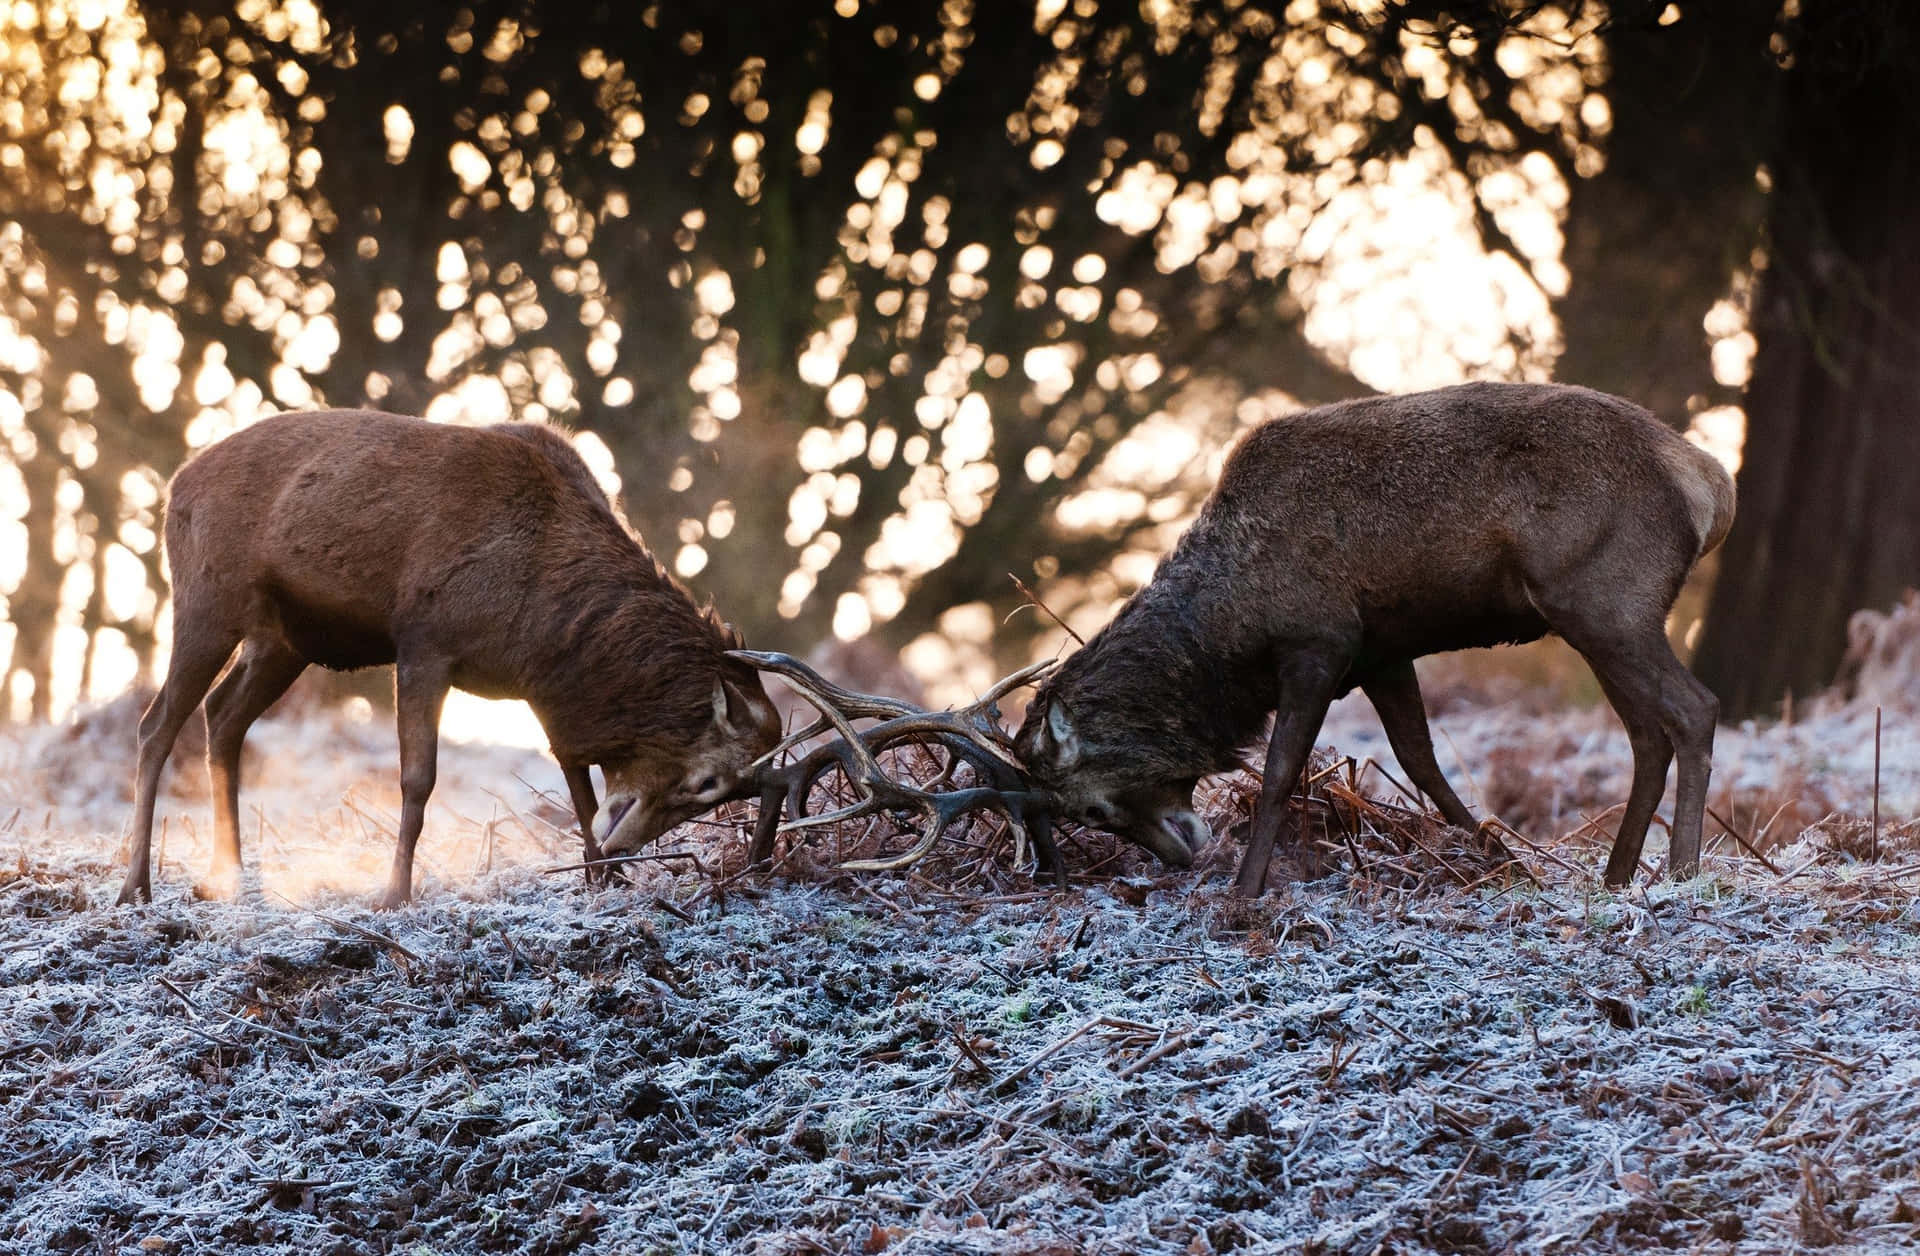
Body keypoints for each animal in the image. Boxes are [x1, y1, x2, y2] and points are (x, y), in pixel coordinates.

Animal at [114, 416, 779, 914]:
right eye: (709, 783)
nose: (625, 850)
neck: (545, 622)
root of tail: (176, 486)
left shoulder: (542, 690)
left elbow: (576, 781)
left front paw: (599, 878)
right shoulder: (425, 643)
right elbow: (418, 778)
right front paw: (393, 894)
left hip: (284, 642)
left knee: (223, 715)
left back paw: (225, 874)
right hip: (207, 601)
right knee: (156, 723)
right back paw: (135, 885)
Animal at [1013, 378, 1735, 898]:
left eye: (1093, 810)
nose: (1178, 857)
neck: (1233, 629)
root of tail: (1711, 483)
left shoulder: (1320, 640)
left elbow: (1280, 770)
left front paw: (1244, 892)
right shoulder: (1382, 655)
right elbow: (1422, 762)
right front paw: (1506, 864)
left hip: (1610, 603)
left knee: (1695, 708)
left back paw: (1683, 874)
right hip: (1600, 620)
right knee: (1647, 735)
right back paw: (1616, 877)